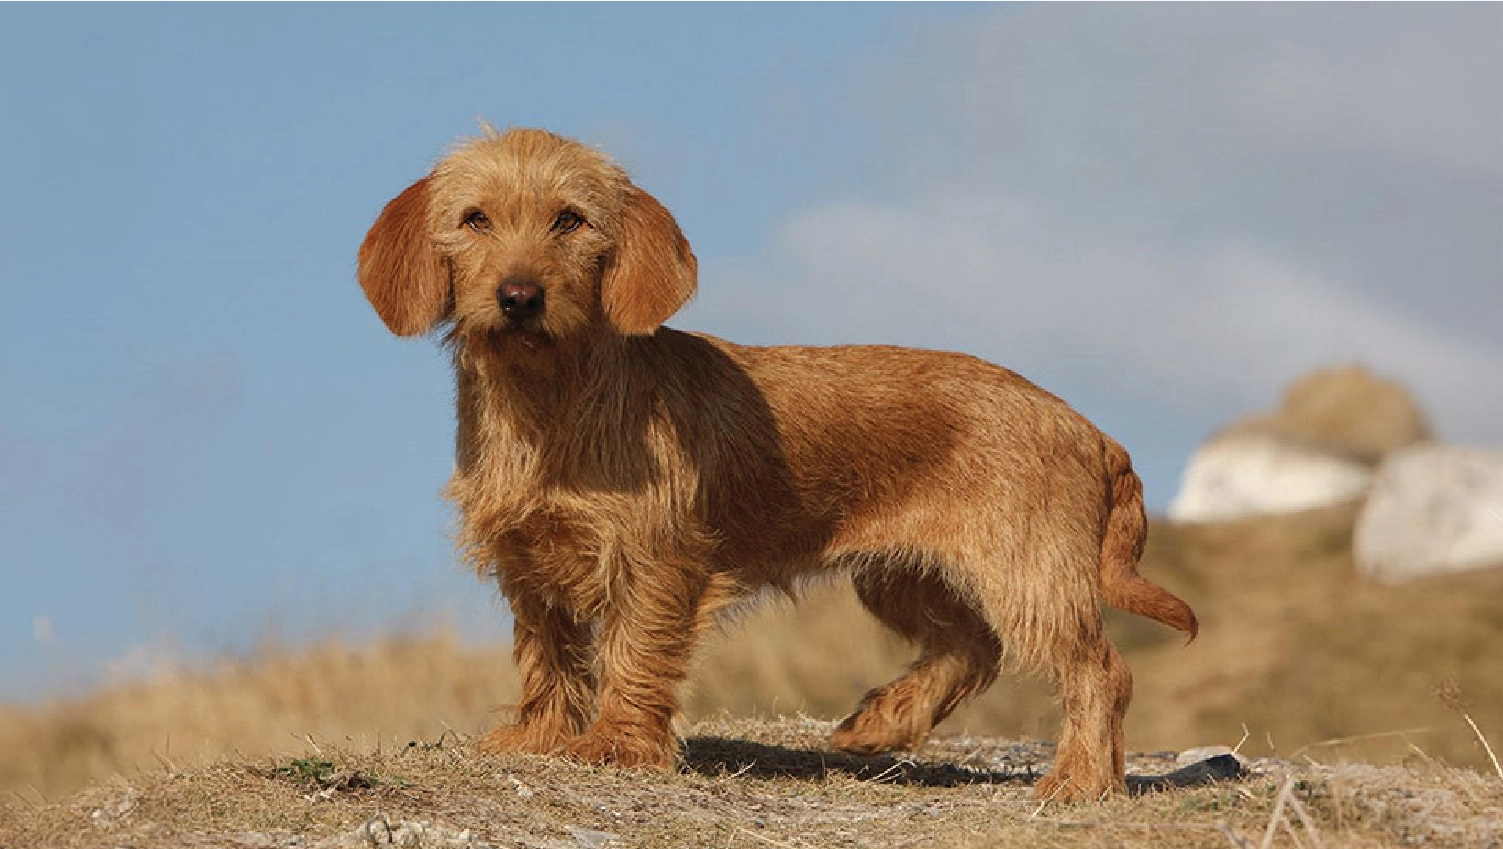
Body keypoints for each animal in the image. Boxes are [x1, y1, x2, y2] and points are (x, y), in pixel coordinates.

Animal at [354, 125, 1196, 799]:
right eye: (474, 219)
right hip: (900, 576)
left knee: (1098, 670)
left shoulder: (655, 560)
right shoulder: (527, 560)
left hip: (1029, 576)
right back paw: (880, 723)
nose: (519, 295)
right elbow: (548, 654)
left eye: (570, 219)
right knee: (971, 646)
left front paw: (618, 744)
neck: (549, 402)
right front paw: (540, 735)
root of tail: (1089, 428)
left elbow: (632, 650)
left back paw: (1078, 780)